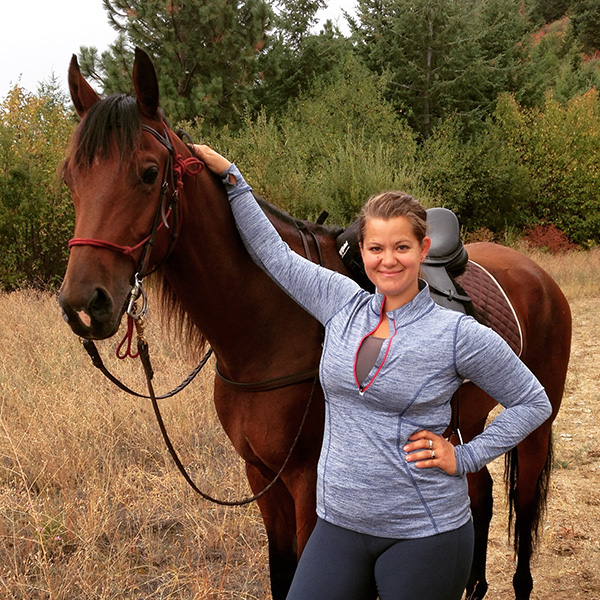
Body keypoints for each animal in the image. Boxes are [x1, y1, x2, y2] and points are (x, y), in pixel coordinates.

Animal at [57, 48, 572, 600]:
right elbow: (282, 570)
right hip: (465, 424)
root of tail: (540, 275)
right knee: (480, 494)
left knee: (524, 511)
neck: (268, 329)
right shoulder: (261, 477)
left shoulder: (308, 484)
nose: (83, 304)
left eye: (149, 173)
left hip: (537, 427)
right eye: (71, 179)